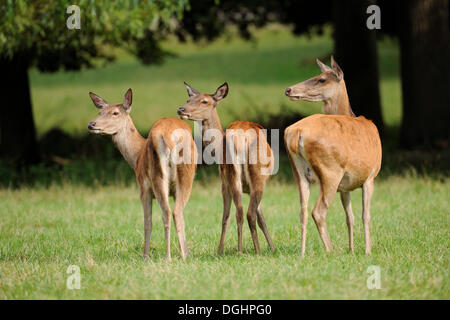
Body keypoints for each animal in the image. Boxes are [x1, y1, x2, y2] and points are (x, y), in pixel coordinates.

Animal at [88, 89, 197, 262]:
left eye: (115, 112)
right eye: (100, 112)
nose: (91, 124)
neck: (136, 156)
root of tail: (169, 136)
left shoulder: (143, 187)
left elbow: (147, 221)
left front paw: (145, 256)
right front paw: (186, 252)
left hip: (157, 175)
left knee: (167, 212)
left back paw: (167, 257)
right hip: (187, 174)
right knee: (178, 212)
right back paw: (184, 256)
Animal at [175, 82, 274, 255]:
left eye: (204, 101)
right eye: (188, 99)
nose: (181, 109)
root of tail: (243, 138)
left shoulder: (228, 183)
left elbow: (231, 217)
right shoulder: (230, 183)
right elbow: (259, 217)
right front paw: (272, 248)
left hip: (236, 174)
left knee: (242, 212)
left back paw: (246, 250)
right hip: (249, 176)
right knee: (245, 212)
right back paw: (251, 250)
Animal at [284, 57, 382, 258]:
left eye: (321, 79)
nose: (288, 90)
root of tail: (297, 133)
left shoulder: (345, 186)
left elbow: (349, 217)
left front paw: (352, 249)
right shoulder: (370, 175)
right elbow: (365, 215)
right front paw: (367, 251)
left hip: (298, 172)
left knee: (303, 211)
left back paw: (302, 253)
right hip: (330, 171)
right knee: (318, 211)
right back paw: (330, 251)